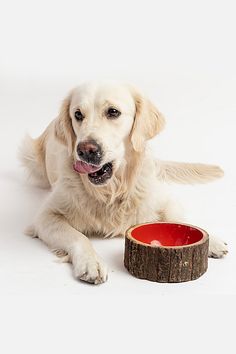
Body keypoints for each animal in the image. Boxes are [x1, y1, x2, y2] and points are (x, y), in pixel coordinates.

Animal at [19, 81, 228, 284]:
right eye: (77, 114)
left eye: (113, 112)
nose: (85, 150)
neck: (111, 191)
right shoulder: (46, 216)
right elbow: (78, 237)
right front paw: (91, 262)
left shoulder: (162, 198)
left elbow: (179, 218)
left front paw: (213, 241)